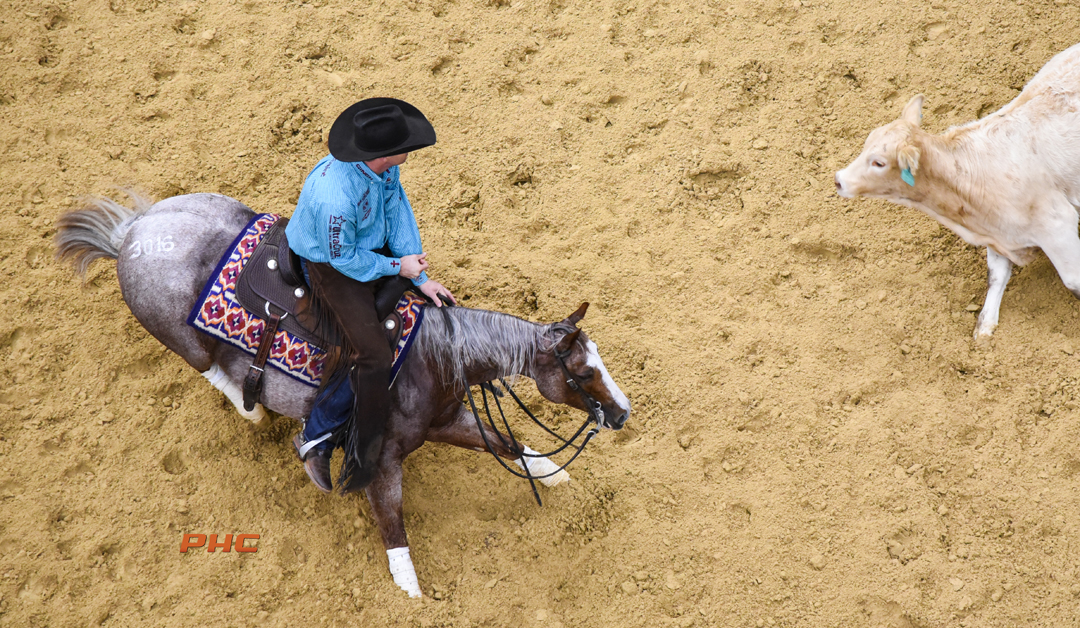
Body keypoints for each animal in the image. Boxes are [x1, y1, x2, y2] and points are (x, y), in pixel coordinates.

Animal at [54, 191, 632, 597]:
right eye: (583, 373)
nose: (622, 413)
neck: (431, 355)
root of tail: (134, 231)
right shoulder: (381, 456)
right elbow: (392, 520)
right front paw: (410, 591)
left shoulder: (445, 421)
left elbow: (505, 443)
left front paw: (554, 474)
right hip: (185, 343)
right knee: (210, 369)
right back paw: (252, 409)